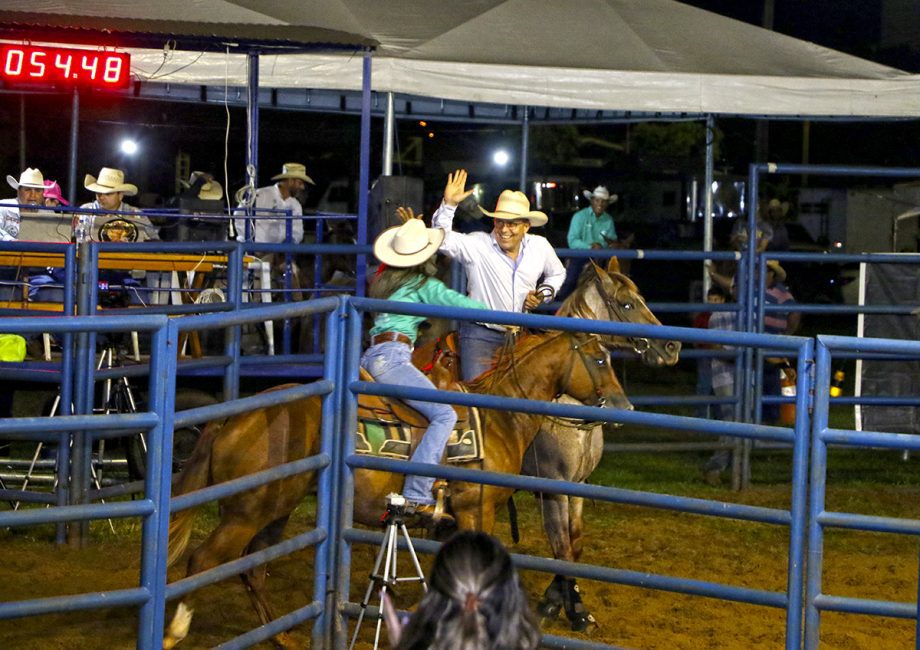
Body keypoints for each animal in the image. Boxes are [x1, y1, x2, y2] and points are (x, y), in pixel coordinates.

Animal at [162, 330, 628, 648]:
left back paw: (280, 637)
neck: (500, 418)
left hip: (276, 508)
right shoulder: (477, 511)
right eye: (600, 359)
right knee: (203, 561)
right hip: (247, 511)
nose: (624, 406)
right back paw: (176, 629)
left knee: (253, 569)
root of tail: (234, 419)